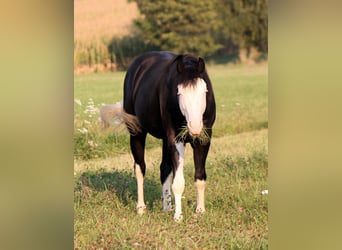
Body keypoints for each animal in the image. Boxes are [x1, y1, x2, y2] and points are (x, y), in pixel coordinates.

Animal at [101, 50, 215, 221]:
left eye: (204, 91)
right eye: (179, 92)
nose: (195, 127)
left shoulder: (203, 140)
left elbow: (200, 177)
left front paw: (200, 211)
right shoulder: (175, 140)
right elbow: (178, 182)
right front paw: (178, 217)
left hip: (165, 140)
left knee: (164, 169)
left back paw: (167, 207)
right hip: (137, 133)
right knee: (140, 169)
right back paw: (141, 208)